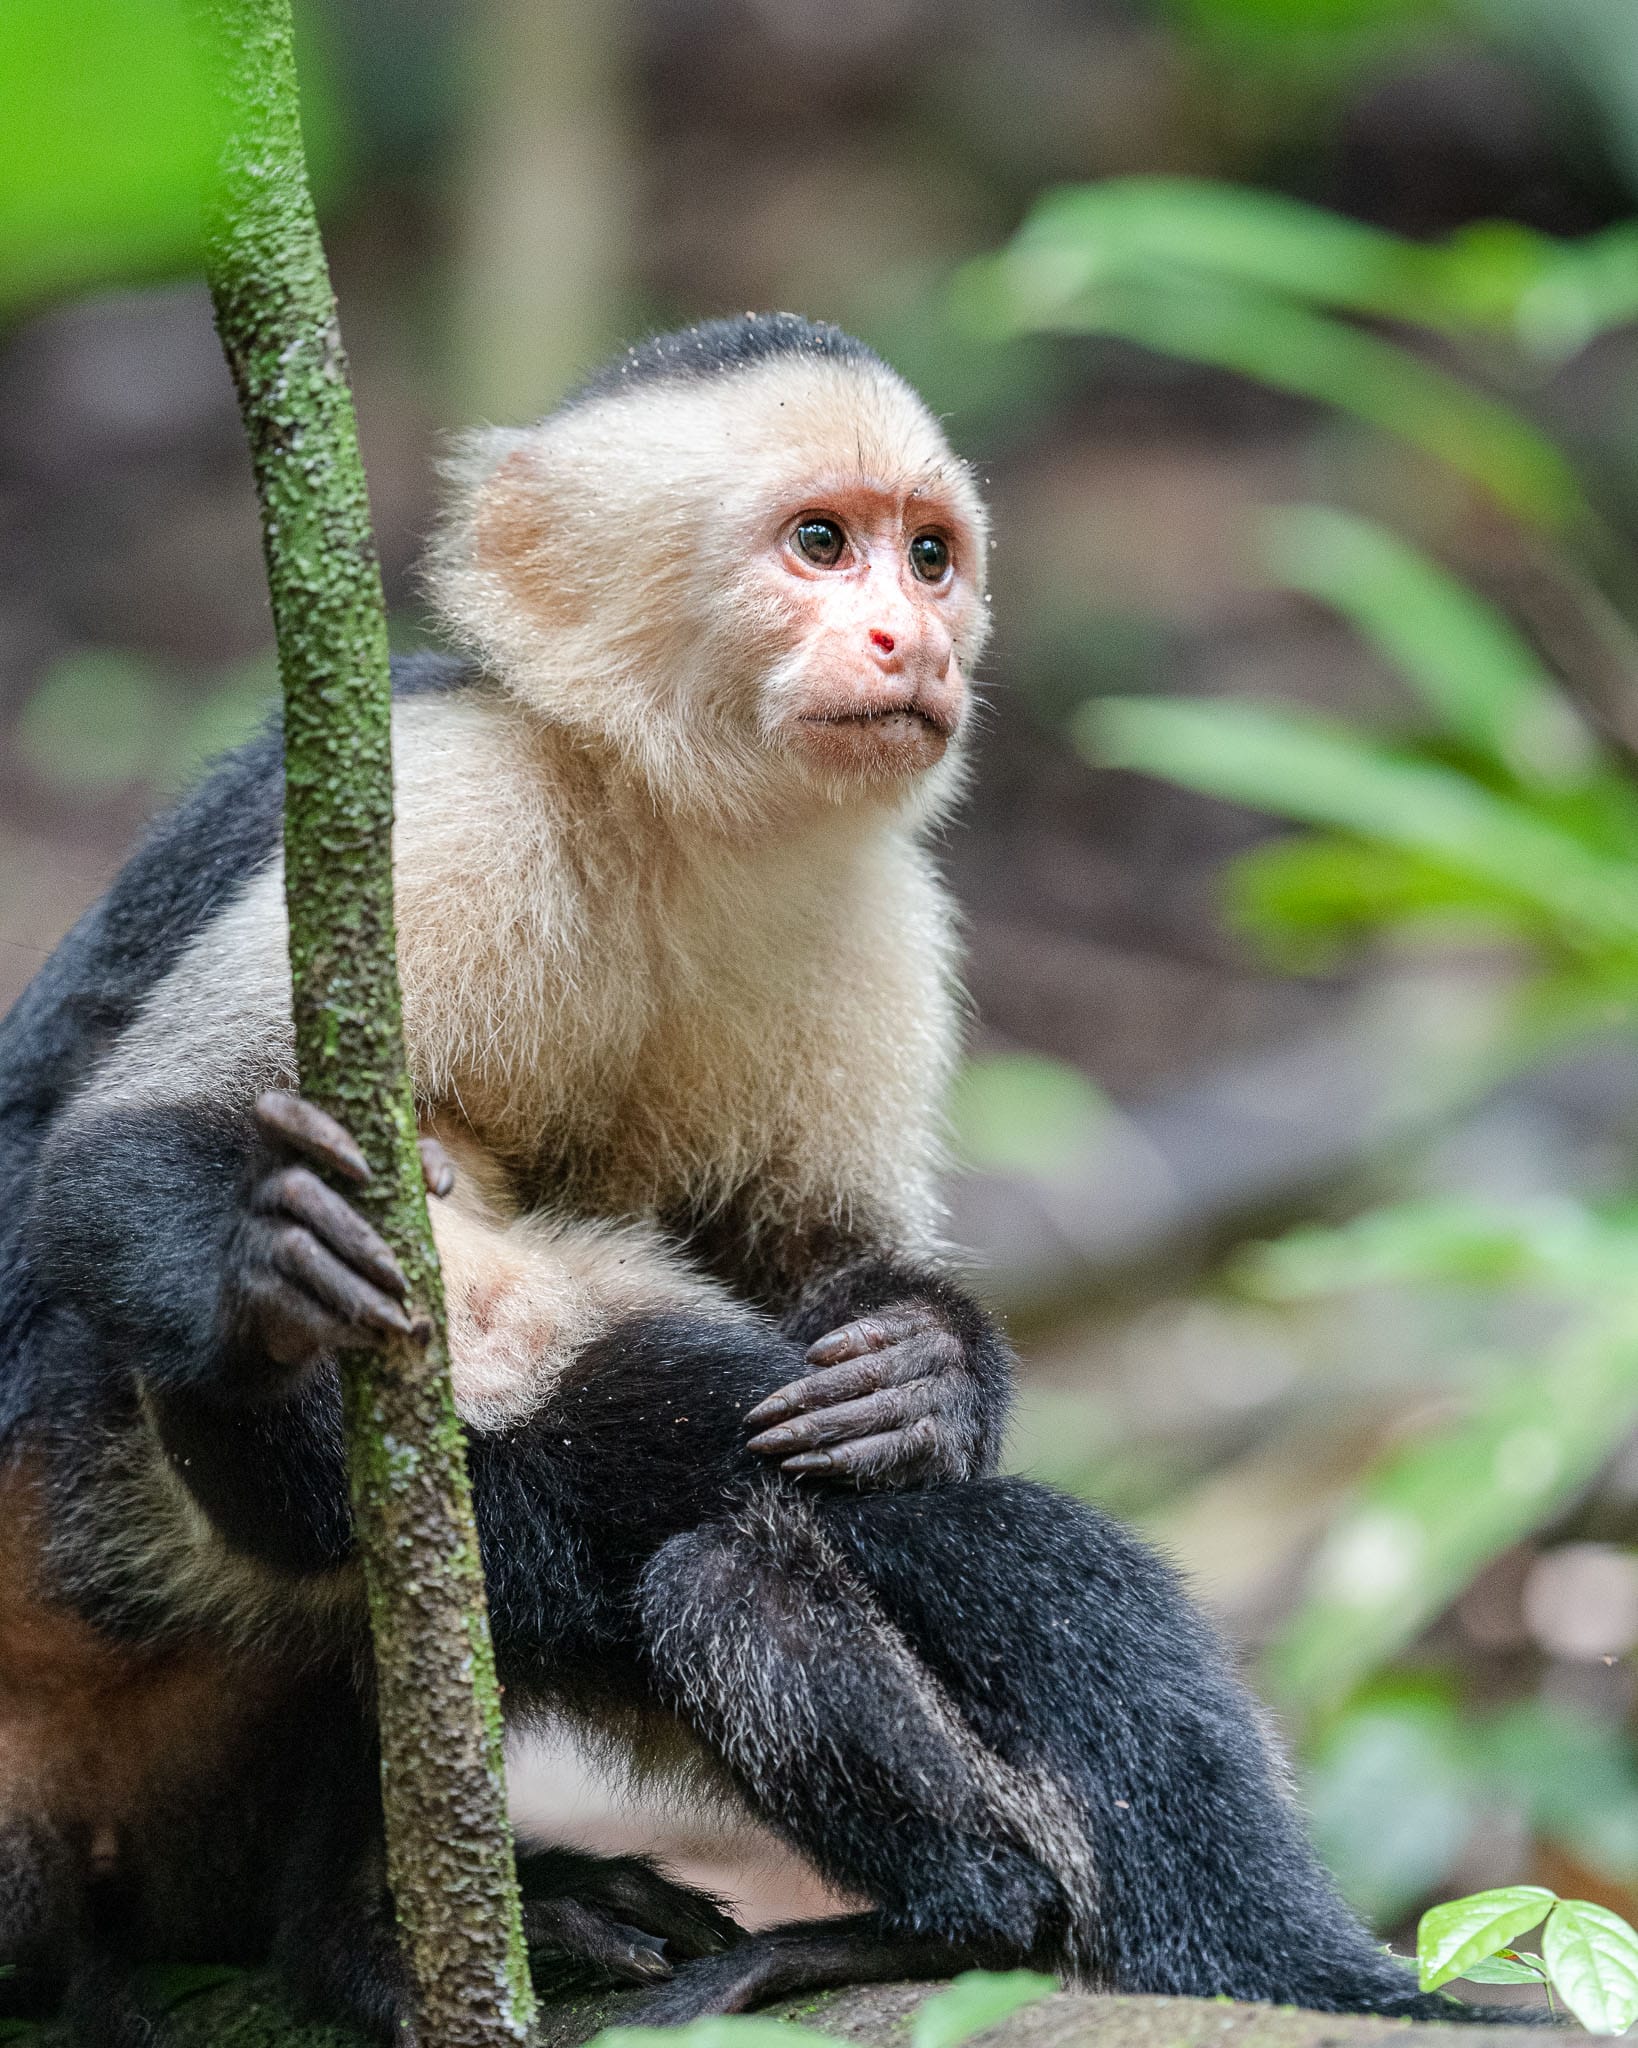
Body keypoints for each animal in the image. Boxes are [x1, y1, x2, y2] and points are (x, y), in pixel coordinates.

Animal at [0, 314, 1481, 2040]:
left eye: (928, 556)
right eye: (819, 545)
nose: (909, 639)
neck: (660, 819)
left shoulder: (870, 907)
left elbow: (810, 1269)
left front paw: (925, 1370)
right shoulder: (439, 802)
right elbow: (109, 1157)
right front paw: (260, 1258)